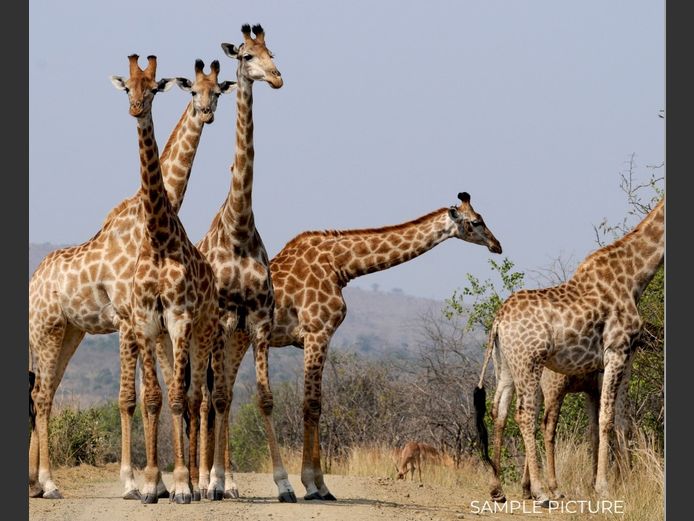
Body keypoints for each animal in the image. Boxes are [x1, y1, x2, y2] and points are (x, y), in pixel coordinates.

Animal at [27, 58, 233, 500]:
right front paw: (132, 482)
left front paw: (160, 482)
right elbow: (128, 398)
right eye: (194, 91)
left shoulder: (147, 322)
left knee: (44, 392)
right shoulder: (127, 319)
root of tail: (33, 281)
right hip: (46, 329)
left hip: (69, 332)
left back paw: (37, 482)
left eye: (218, 92)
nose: (206, 113)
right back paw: (48, 482)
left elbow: (151, 393)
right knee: (41, 394)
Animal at [248, 191, 500, 500]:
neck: (340, 265)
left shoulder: (314, 337)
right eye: (476, 222)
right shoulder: (317, 332)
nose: (497, 245)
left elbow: (316, 405)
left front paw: (320, 485)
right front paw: (313, 485)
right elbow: (312, 405)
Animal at [474, 197, 664, 505]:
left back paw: (497, 488)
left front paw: (627, 483)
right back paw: (541, 491)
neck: (634, 277)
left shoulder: (624, 357)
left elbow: (621, 421)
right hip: (530, 363)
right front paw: (604, 486)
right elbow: (606, 418)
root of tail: (498, 320)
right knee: (526, 414)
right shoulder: (616, 351)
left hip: (505, 365)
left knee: (499, 410)